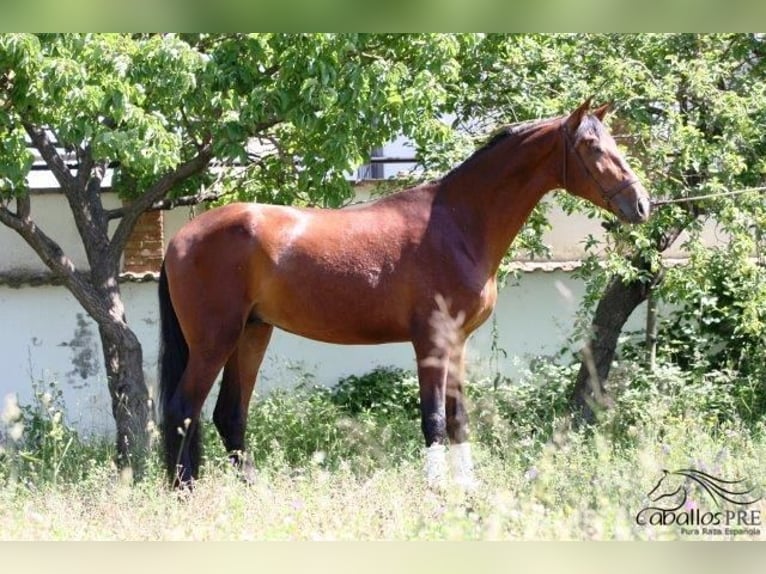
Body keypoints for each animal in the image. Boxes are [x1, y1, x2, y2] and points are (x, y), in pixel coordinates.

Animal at [159, 101, 652, 488]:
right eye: (593, 147)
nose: (641, 204)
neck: (457, 222)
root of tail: (182, 238)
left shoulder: (457, 342)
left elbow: (457, 418)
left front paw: (466, 488)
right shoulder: (430, 341)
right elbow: (432, 419)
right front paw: (436, 490)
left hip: (252, 333)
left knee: (228, 413)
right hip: (215, 340)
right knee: (183, 407)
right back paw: (185, 492)